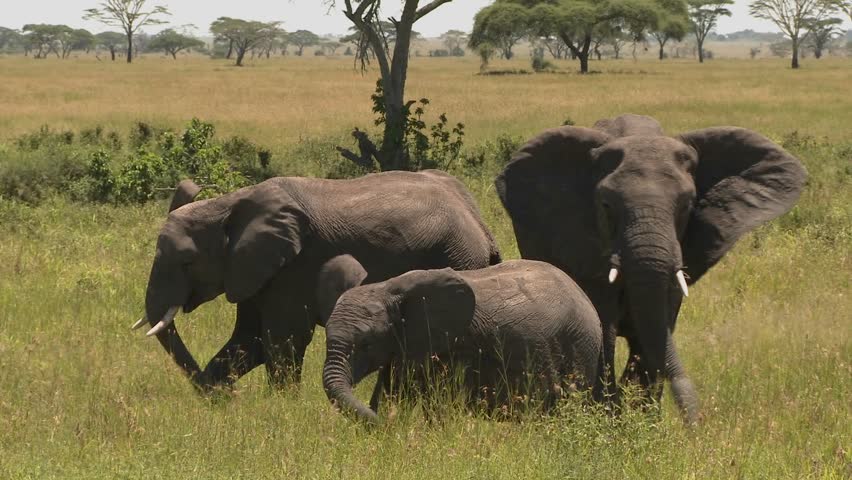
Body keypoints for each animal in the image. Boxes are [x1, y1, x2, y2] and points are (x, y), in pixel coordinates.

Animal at [133, 170, 501, 392]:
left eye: (187, 262)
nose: (225, 397)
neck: (227, 204)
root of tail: (482, 227)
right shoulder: (254, 267)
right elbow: (248, 340)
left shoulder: (296, 265)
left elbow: (283, 340)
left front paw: (280, 409)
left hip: (456, 256)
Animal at [495, 114, 807, 423]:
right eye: (606, 206)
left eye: (687, 206)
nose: (694, 422)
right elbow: (604, 326)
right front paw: (609, 417)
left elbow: (656, 328)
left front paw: (642, 420)